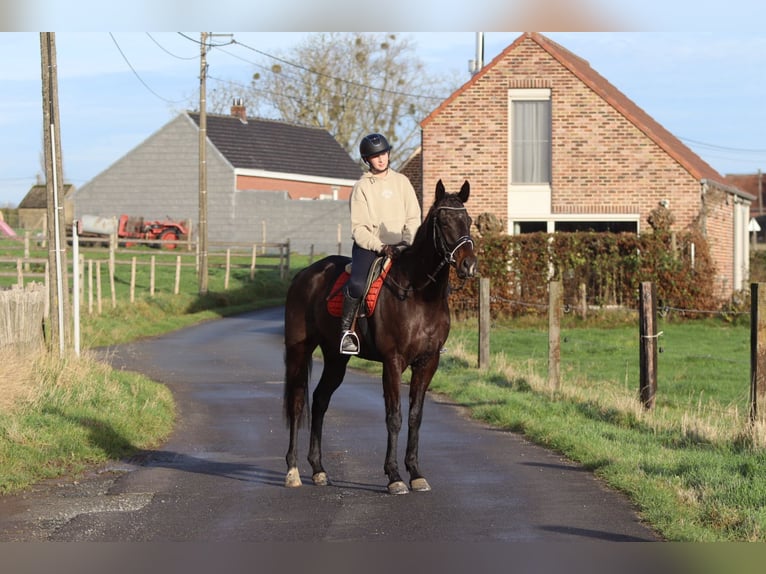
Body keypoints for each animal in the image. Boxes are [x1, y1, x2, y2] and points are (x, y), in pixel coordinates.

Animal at [283, 179, 477, 494]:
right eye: (444, 221)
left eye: (468, 221)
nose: (469, 265)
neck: (419, 295)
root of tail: (304, 275)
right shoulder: (393, 361)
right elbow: (394, 416)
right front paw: (394, 476)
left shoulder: (428, 362)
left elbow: (415, 416)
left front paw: (416, 473)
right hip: (299, 351)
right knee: (298, 402)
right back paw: (292, 471)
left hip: (336, 358)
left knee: (320, 400)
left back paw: (319, 470)